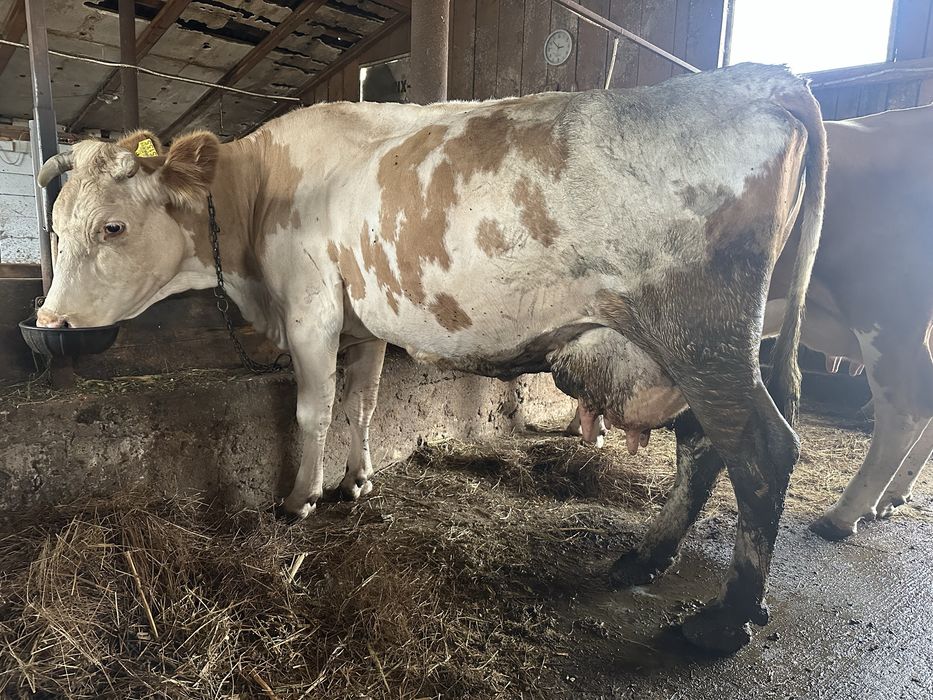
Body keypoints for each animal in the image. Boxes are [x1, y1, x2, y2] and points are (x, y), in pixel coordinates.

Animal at [34, 63, 826, 654]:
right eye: (55, 225)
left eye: (113, 226)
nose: (49, 322)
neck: (258, 194)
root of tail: (765, 79)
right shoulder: (364, 322)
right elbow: (363, 401)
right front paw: (356, 480)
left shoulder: (312, 308)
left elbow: (313, 408)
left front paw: (299, 498)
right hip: (708, 349)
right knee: (703, 443)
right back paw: (648, 557)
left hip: (701, 337)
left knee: (758, 447)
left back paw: (724, 619)